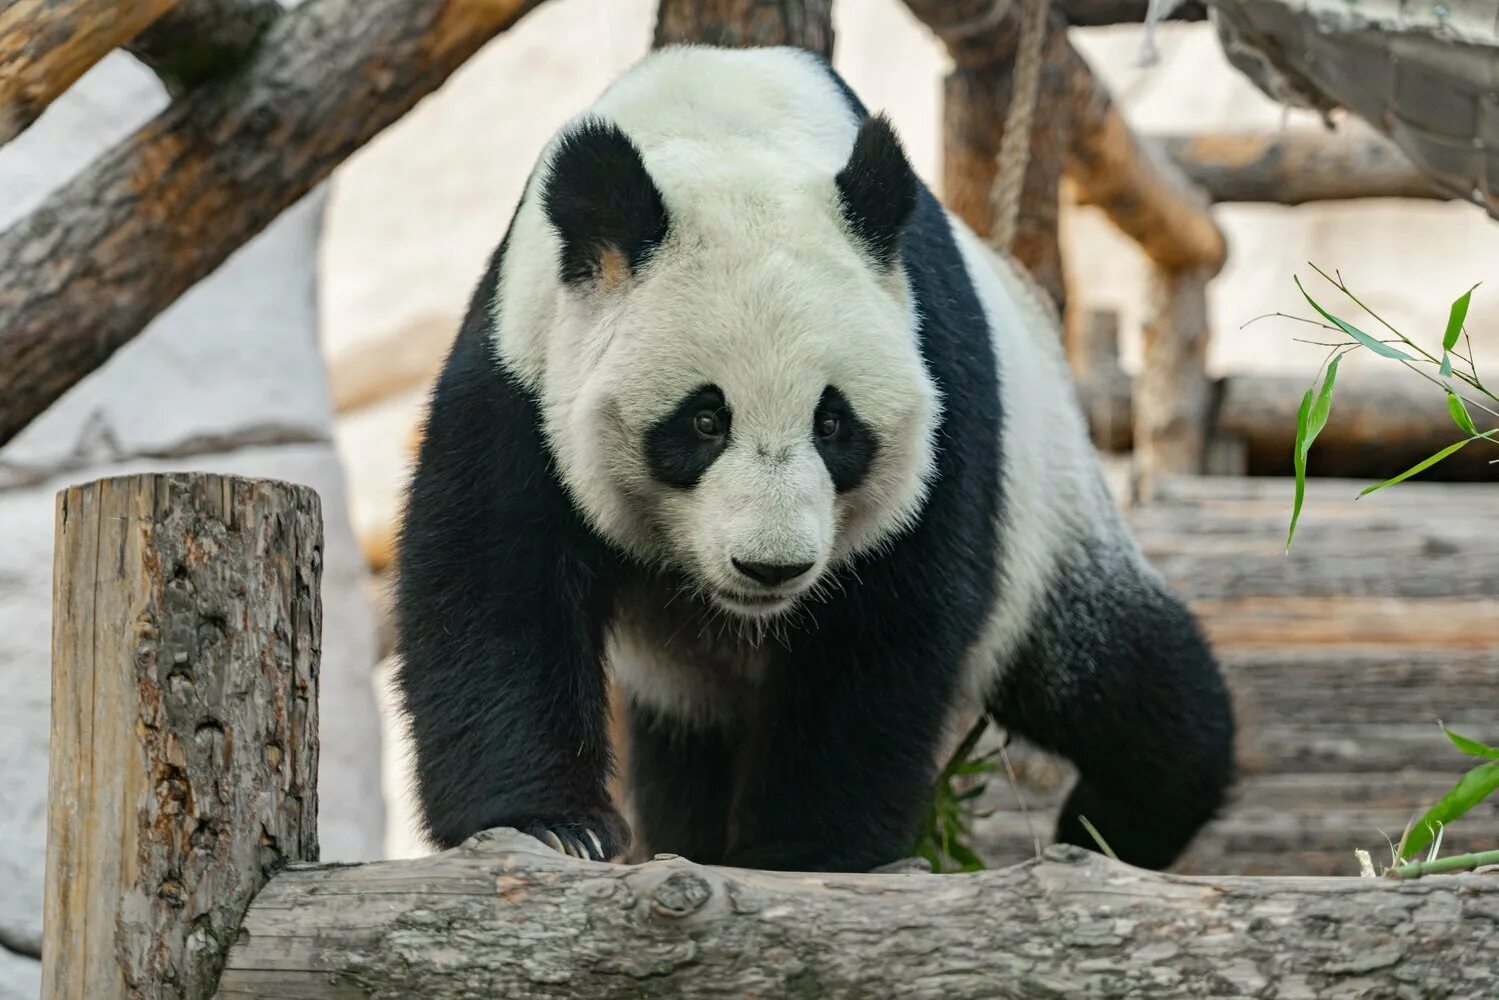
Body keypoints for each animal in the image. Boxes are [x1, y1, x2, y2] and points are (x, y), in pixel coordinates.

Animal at [392, 46, 1235, 869]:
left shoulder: (940, 378)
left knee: (1128, 688)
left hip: (1046, 512)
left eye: (833, 424)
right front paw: (552, 826)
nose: (772, 567)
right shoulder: (524, 372)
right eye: (703, 420)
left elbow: (882, 631)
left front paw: (803, 849)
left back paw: (1118, 819)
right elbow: (496, 587)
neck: (726, 124)